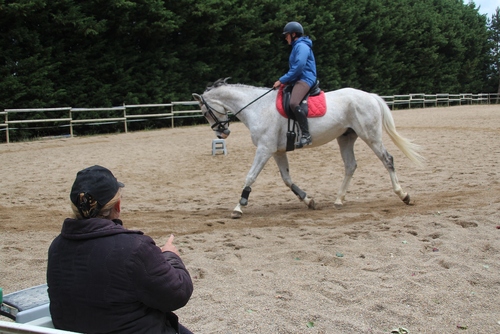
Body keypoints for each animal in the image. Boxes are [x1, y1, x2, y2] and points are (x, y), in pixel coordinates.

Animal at [193, 78, 424, 219]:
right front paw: (308, 200)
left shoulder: (265, 149)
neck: (257, 107)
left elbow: (250, 176)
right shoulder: (277, 151)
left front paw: (239, 206)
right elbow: (287, 179)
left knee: (387, 160)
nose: (222, 134)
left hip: (371, 136)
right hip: (346, 138)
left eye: (204, 112)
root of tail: (369, 95)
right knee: (350, 166)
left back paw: (403, 195)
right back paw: (338, 200)